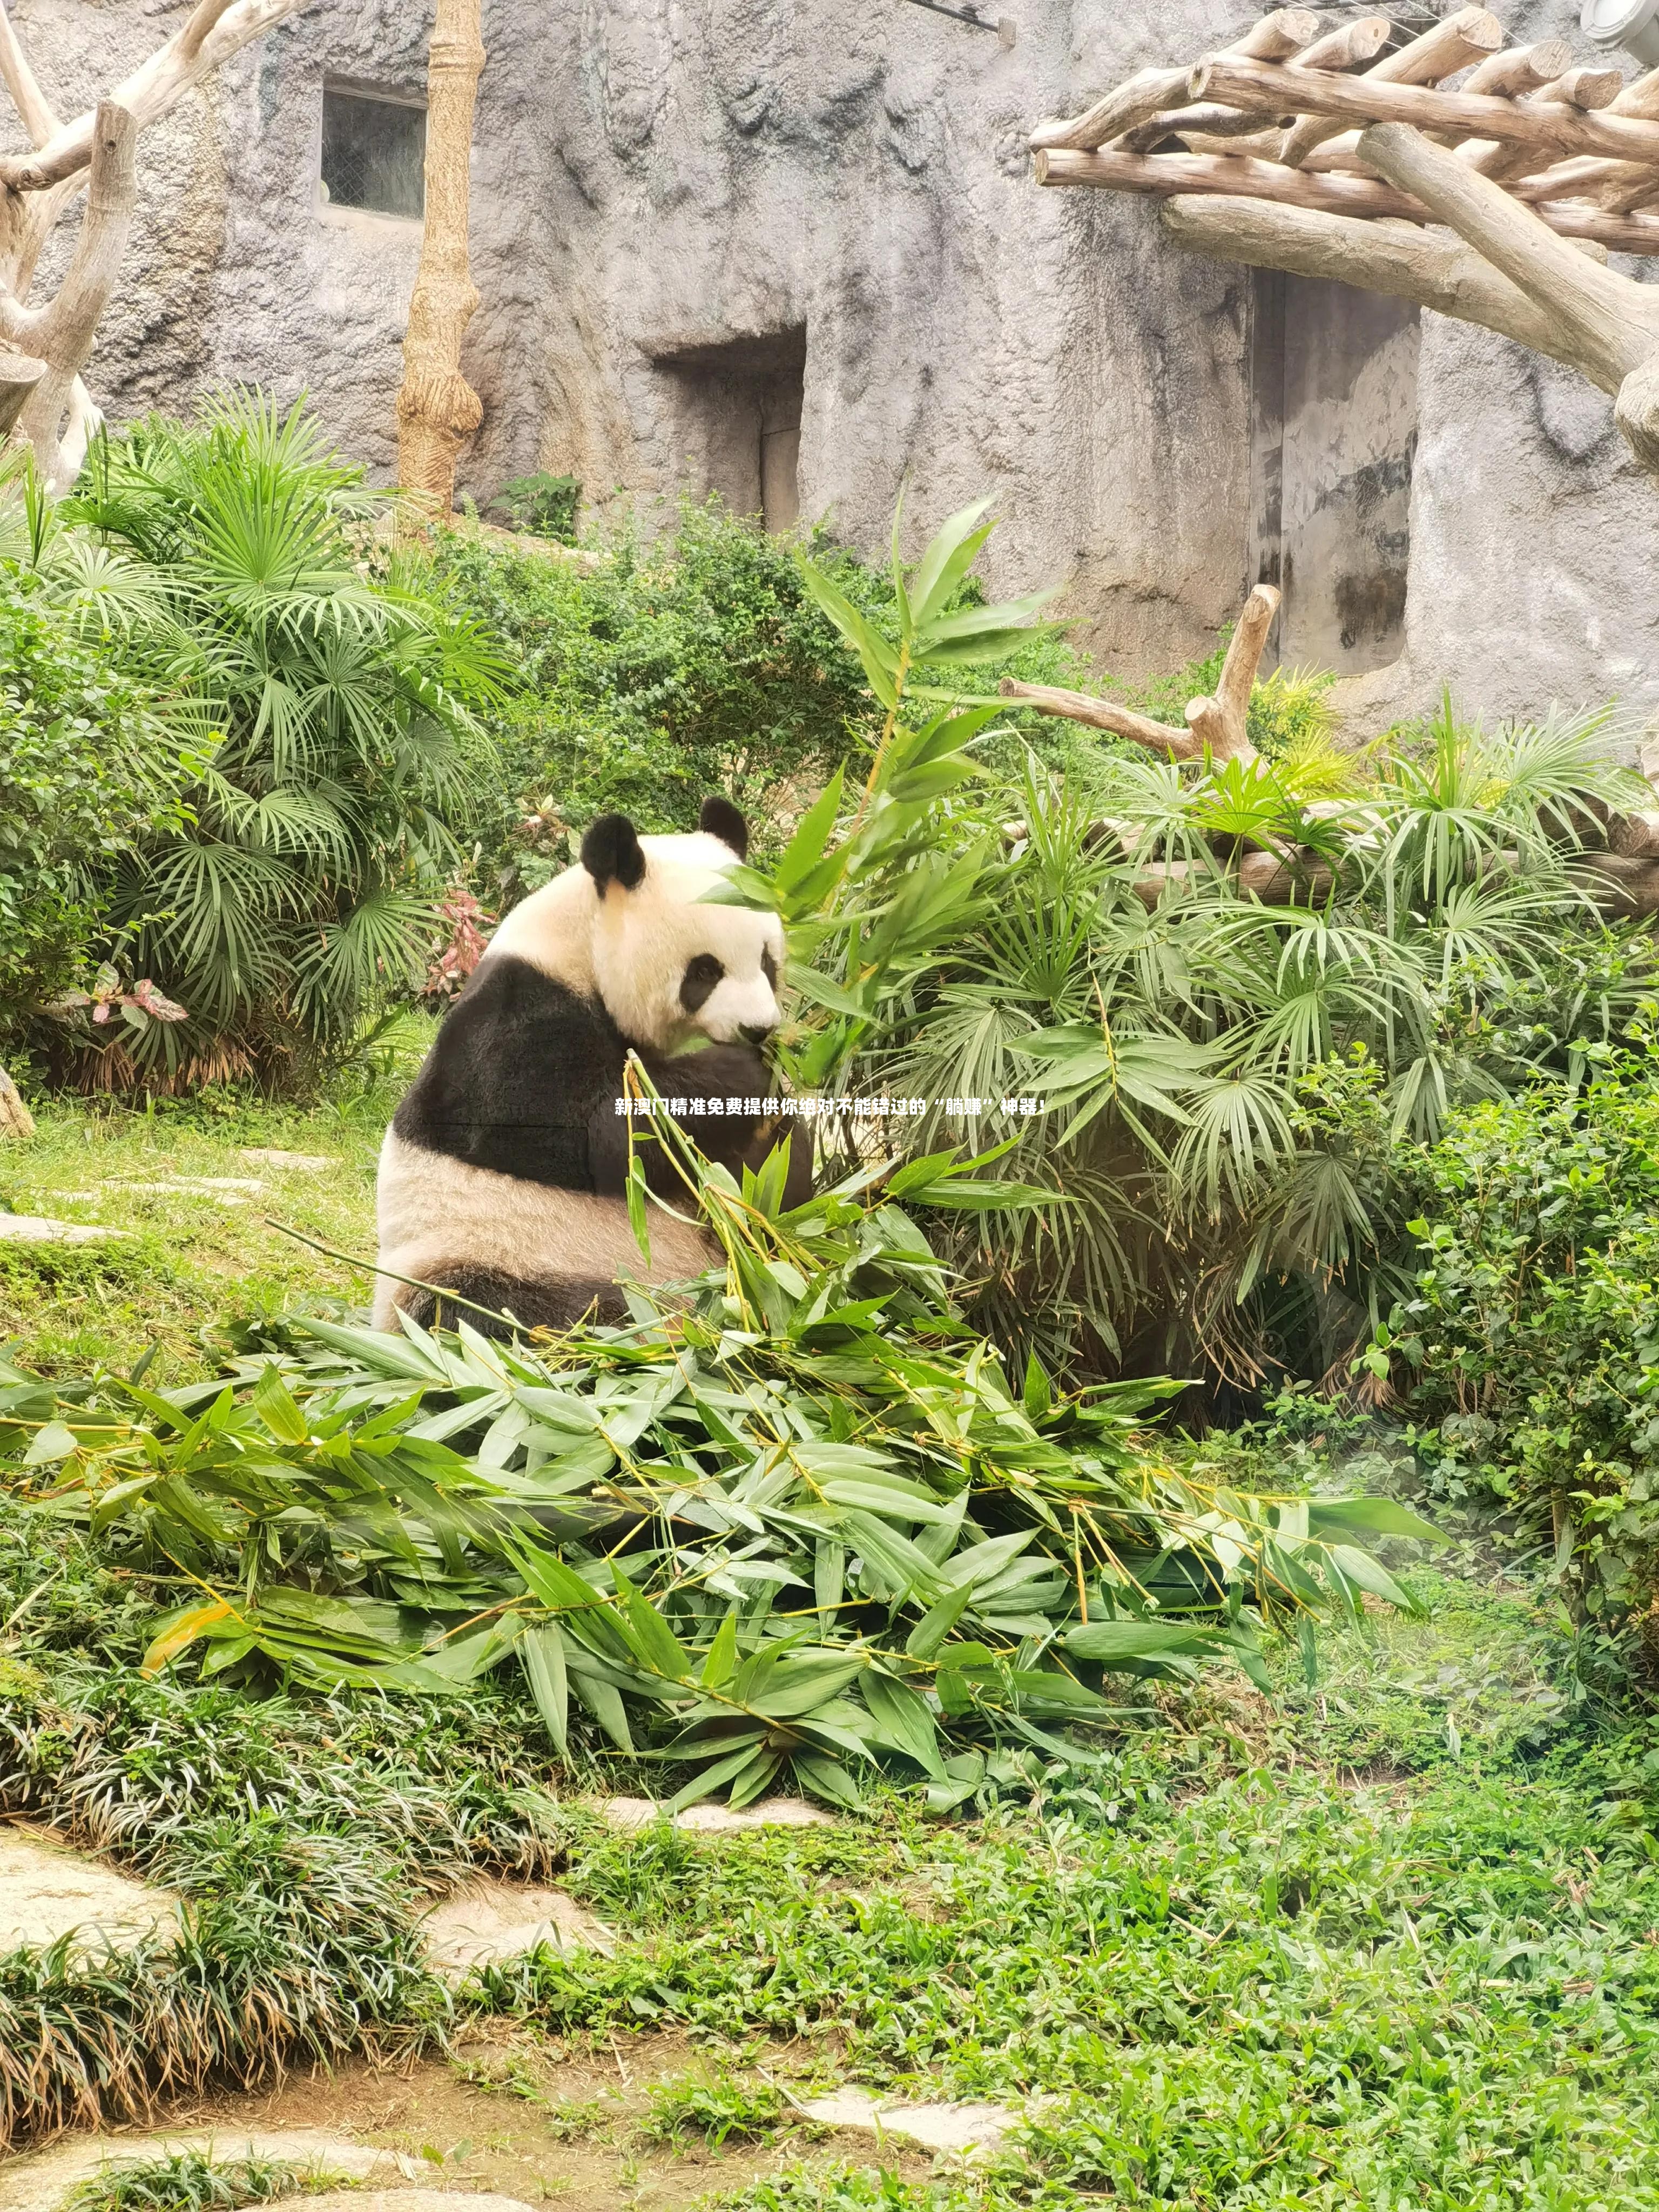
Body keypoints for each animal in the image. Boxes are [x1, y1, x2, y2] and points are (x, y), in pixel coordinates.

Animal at [382, 805, 814, 1336]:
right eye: (705, 971)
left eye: (768, 962)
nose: (758, 1029)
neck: (579, 944)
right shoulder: (513, 1018)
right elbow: (597, 1136)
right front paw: (745, 1074)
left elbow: (762, 1180)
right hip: (487, 1258)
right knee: (494, 1314)